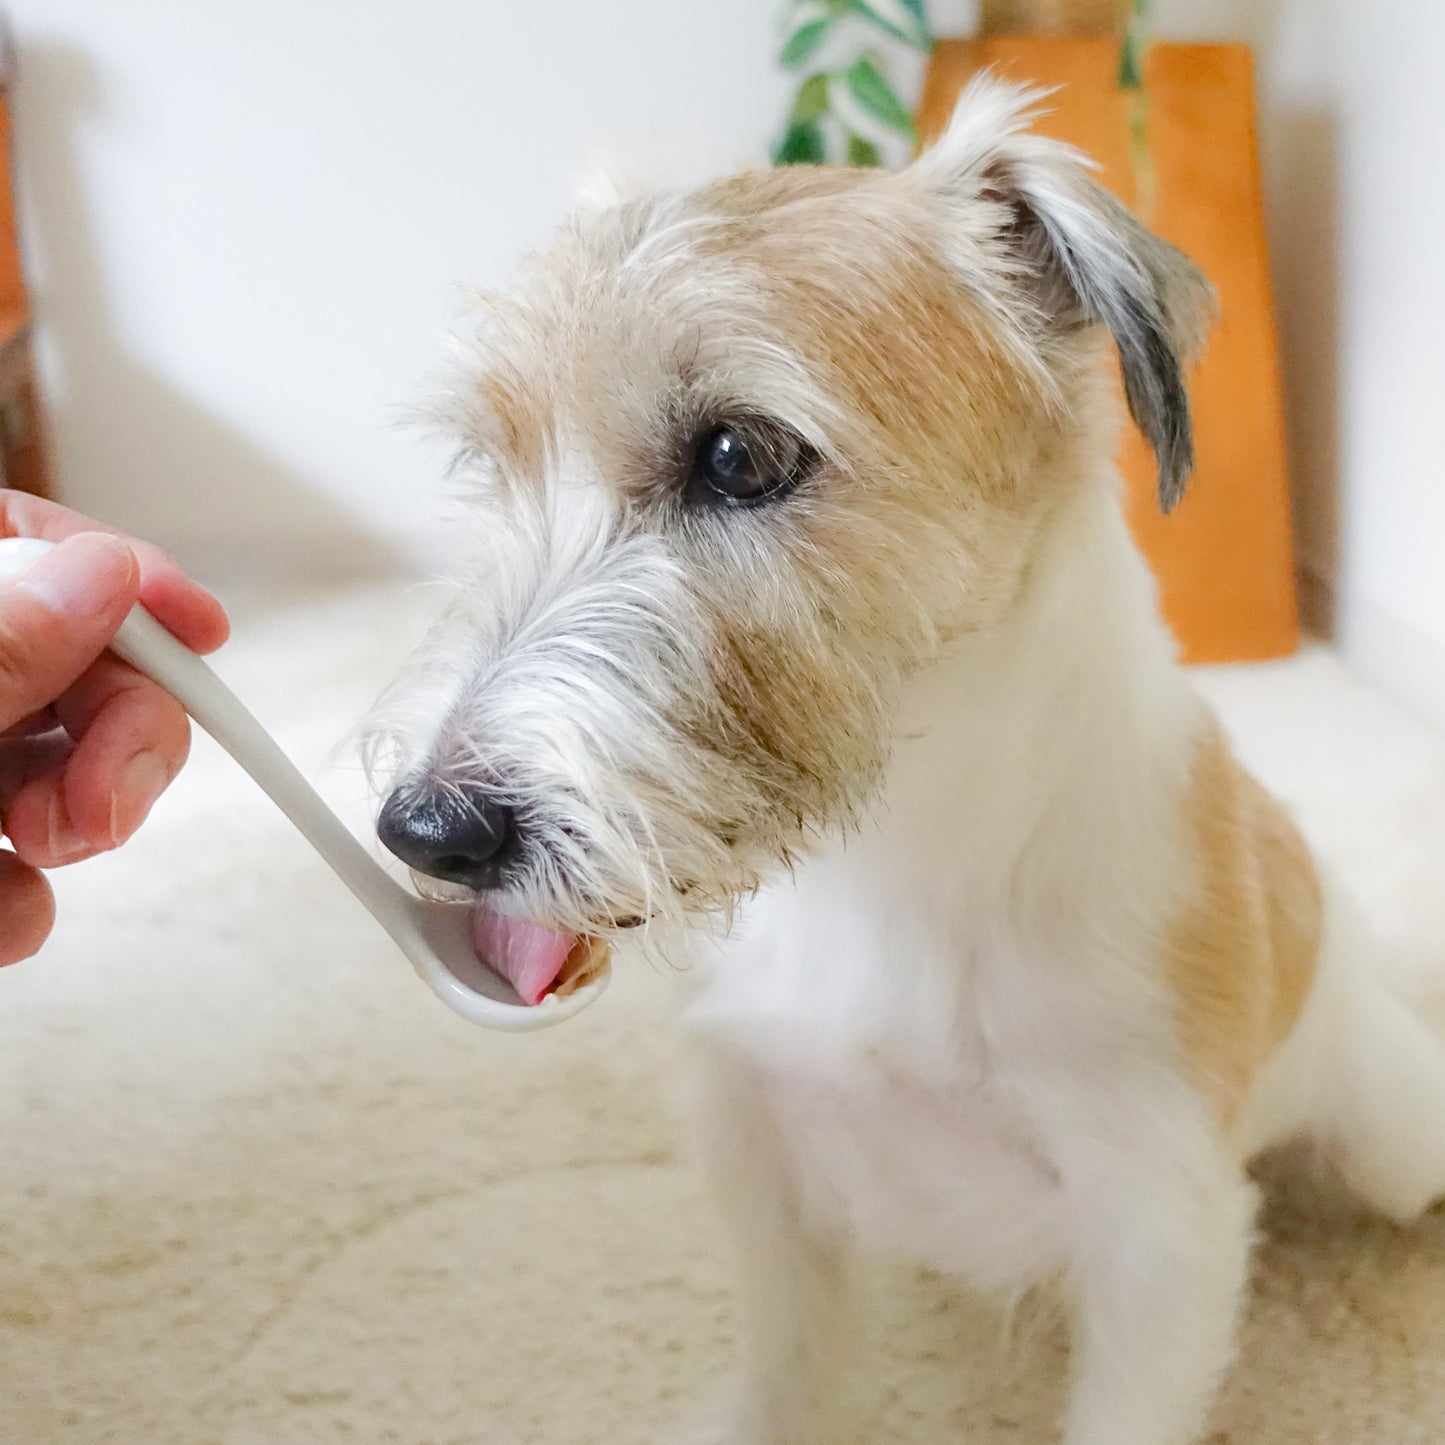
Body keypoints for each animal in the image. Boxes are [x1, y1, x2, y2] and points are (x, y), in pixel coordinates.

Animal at [361, 82, 1445, 1445]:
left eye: (738, 455)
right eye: (487, 459)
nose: (425, 831)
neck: (888, 862)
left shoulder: (1154, 1229)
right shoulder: (755, 1146)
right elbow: (785, 1361)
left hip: (1391, 1139)